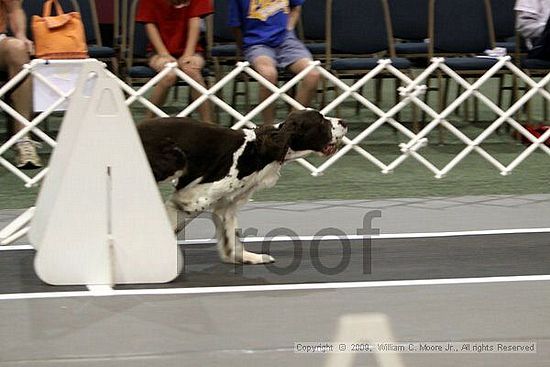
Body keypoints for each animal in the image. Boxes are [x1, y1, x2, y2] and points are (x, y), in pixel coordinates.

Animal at [139, 109, 344, 264]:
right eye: (320, 120)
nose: (344, 121)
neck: (260, 151)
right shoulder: (193, 199)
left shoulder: (225, 205)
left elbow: (231, 237)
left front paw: (248, 257)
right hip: (174, 160)